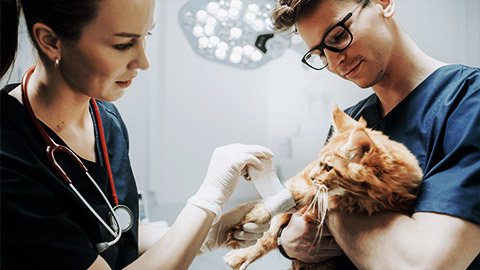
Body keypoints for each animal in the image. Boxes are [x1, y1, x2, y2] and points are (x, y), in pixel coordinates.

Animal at [223, 104, 422, 270]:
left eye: (328, 167)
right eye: (319, 162)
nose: (312, 177)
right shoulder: (300, 183)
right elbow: (274, 216)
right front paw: (247, 230)